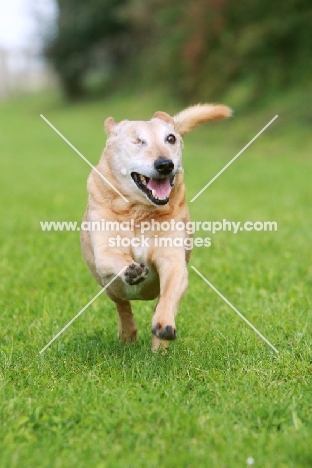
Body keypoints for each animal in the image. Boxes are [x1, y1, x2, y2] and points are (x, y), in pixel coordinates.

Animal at [81, 103, 232, 352]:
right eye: (137, 141)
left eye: (170, 138)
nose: (165, 164)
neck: (140, 212)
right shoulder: (105, 251)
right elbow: (114, 257)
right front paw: (131, 269)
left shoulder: (172, 260)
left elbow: (170, 291)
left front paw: (164, 325)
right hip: (110, 288)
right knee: (122, 306)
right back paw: (128, 335)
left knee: (156, 303)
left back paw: (158, 346)